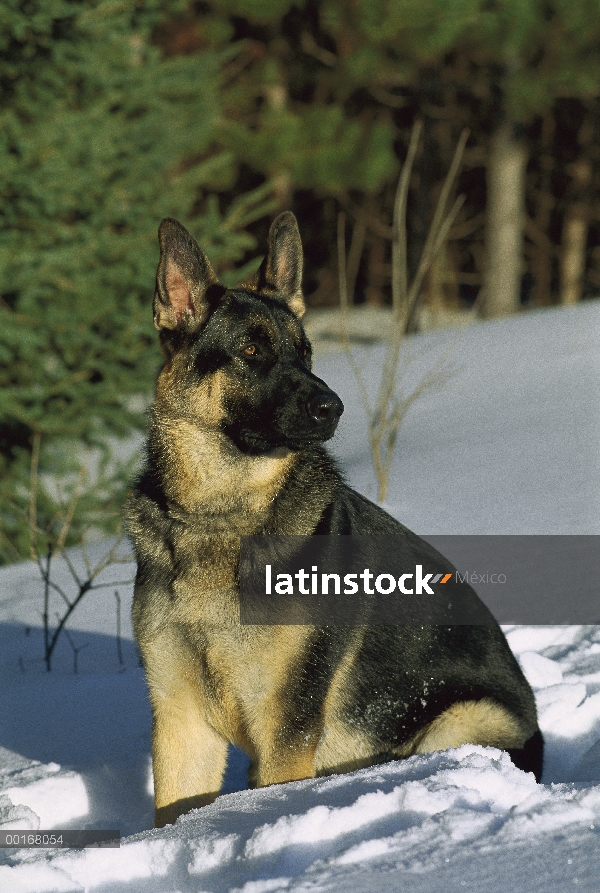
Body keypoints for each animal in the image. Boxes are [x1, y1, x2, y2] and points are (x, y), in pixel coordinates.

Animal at [126, 213, 544, 824]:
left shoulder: (285, 730)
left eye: (305, 353)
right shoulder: (182, 724)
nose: (334, 408)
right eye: (251, 350)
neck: (221, 516)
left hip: (458, 722)